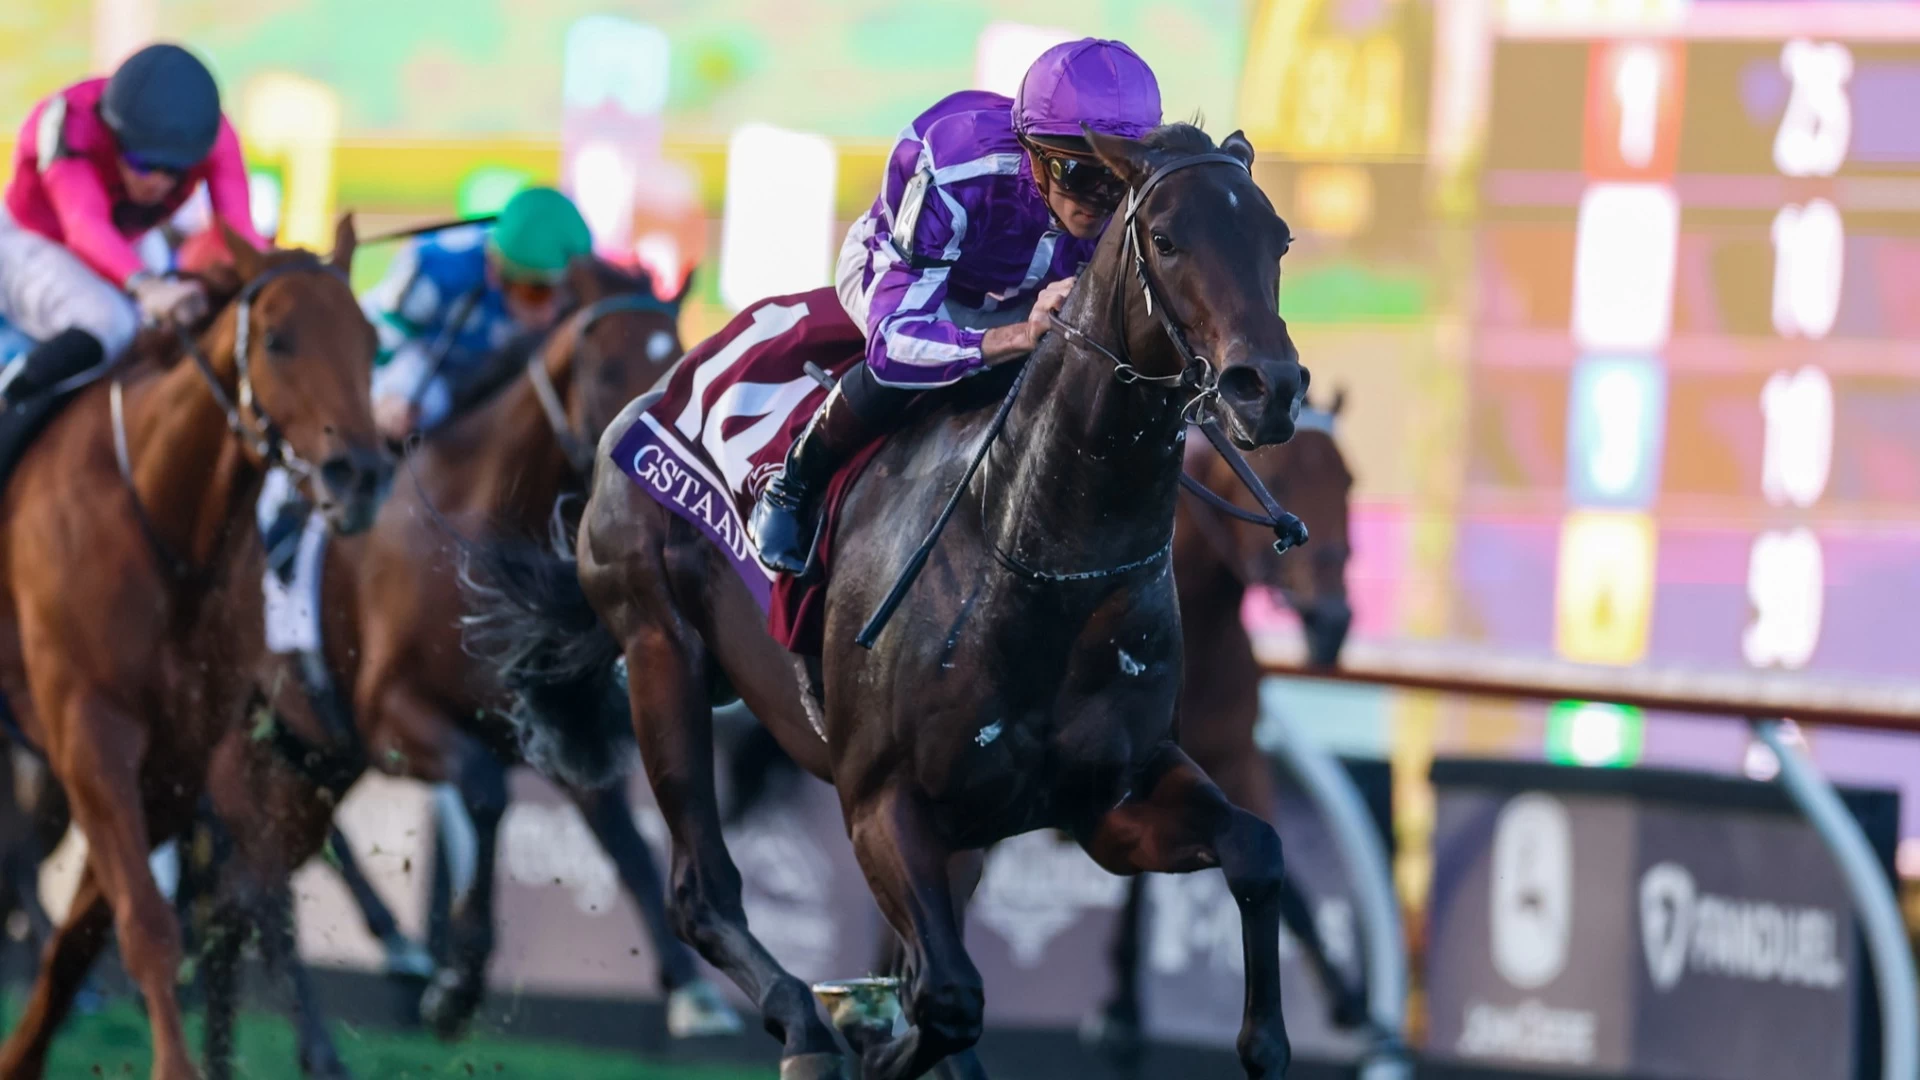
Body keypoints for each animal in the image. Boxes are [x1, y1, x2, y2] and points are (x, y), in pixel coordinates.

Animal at [0, 219, 392, 1080]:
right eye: (277, 338)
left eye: (373, 340)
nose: (359, 475)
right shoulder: (92, 733)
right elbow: (147, 925)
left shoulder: (175, 763)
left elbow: (83, 939)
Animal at [190, 257, 731, 1079]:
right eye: (608, 366)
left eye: (678, 362)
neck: (472, 527)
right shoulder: (390, 719)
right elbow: (482, 794)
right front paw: (456, 983)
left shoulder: (549, 726)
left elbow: (625, 839)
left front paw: (691, 988)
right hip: (240, 759)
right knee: (260, 896)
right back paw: (328, 1036)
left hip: (305, 764)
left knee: (238, 895)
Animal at [467, 123, 1309, 1080]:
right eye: (1165, 239)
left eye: (1277, 238)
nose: (1266, 387)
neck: (1035, 556)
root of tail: (657, 391)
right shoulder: (882, 802)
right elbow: (945, 999)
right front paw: (863, 1045)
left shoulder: (1110, 800)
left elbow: (1257, 849)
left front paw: (1265, 1042)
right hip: (657, 649)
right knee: (701, 890)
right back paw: (803, 1027)